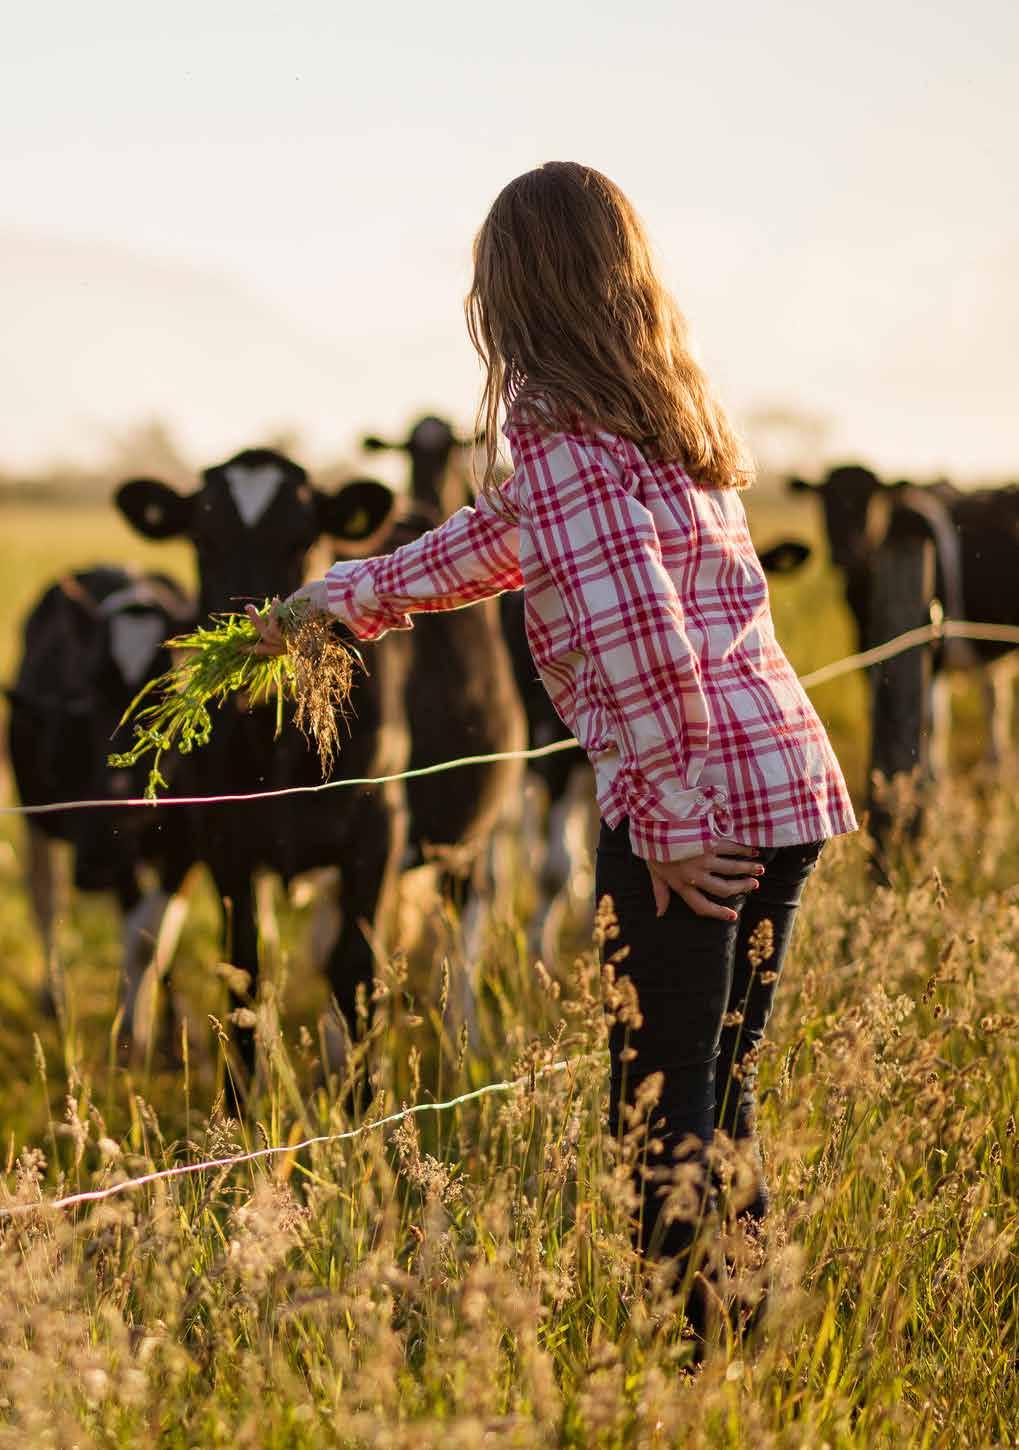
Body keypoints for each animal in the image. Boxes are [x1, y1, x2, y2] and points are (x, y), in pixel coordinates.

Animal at [8, 565, 195, 1032]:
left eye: (167, 692)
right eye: (91, 688)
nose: (94, 867)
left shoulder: (190, 840)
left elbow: (156, 937)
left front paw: (172, 1032)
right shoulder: (106, 840)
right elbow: (140, 936)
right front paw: (132, 1033)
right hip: (39, 820)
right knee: (47, 898)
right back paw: (54, 994)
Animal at [116, 452, 405, 1078]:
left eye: (304, 538)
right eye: (202, 537)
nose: (249, 641)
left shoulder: (378, 829)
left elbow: (354, 967)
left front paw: (365, 1094)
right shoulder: (226, 836)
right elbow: (245, 970)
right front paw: (244, 1094)